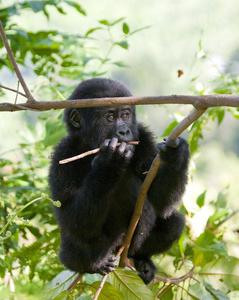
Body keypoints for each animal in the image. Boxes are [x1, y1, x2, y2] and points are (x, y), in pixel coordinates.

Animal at [49, 77, 190, 284]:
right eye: (110, 117)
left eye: (125, 115)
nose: (124, 131)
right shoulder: (63, 154)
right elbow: (72, 220)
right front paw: (109, 164)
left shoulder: (143, 136)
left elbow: (159, 202)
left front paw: (176, 154)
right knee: (75, 245)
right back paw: (92, 264)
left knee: (172, 224)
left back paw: (141, 260)